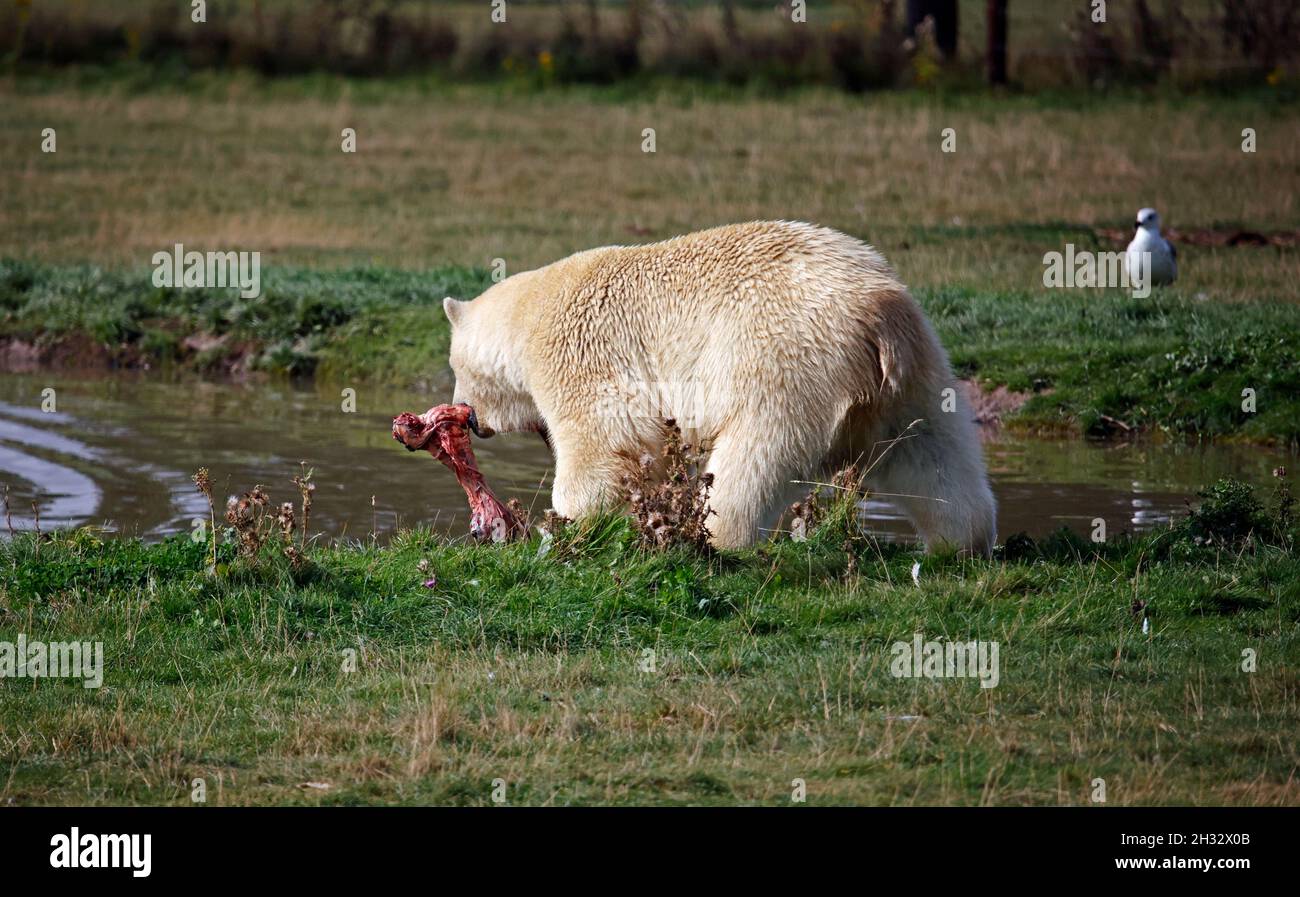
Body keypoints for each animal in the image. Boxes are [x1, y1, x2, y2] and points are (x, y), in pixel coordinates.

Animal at [444, 219, 993, 548]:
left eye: (456, 370)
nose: (468, 418)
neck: (529, 311)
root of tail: (877, 310)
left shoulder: (577, 351)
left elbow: (603, 439)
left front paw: (562, 523)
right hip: (913, 374)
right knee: (931, 452)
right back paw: (962, 539)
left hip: (784, 360)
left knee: (755, 455)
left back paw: (714, 537)